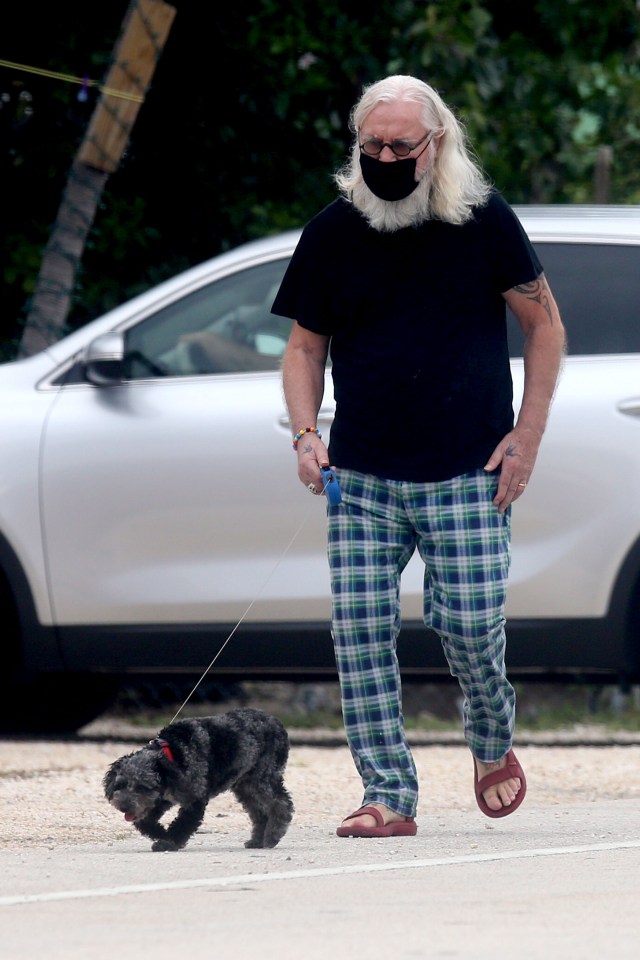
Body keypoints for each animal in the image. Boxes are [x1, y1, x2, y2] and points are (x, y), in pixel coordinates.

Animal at [105, 700, 296, 852]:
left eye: (142, 787)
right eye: (120, 785)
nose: (123, 806)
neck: (171, 756)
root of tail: (277, 722)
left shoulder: (194, 799)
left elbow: (182, 824)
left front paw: (168, 842)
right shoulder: (160, 800)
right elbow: (145, 822)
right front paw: (161, 834)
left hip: (262, 779)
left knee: (282, 803)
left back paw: (273, 836)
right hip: (245, 786)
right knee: (260, 813)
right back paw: (257, 840)